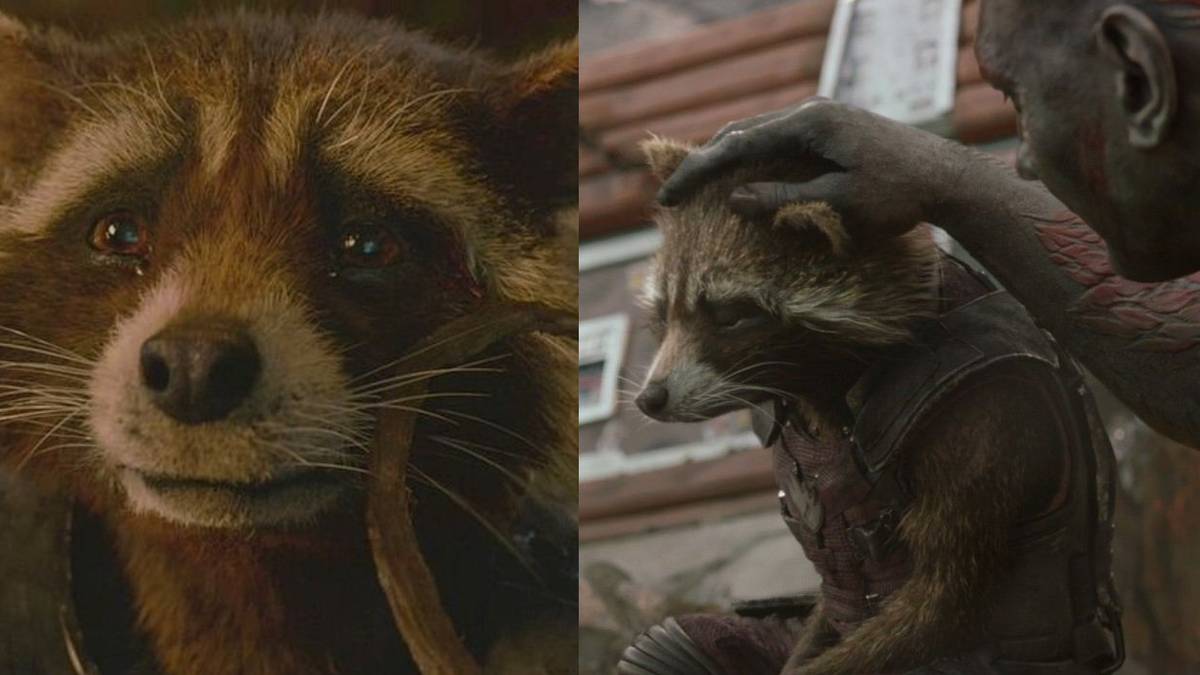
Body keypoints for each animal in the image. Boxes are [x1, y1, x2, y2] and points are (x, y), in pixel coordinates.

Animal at [629, 138, 1121, 675]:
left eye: (730, 316)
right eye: (665, 311)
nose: (651, 399)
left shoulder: (984, 416)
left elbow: (943, 602)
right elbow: (829, 607)